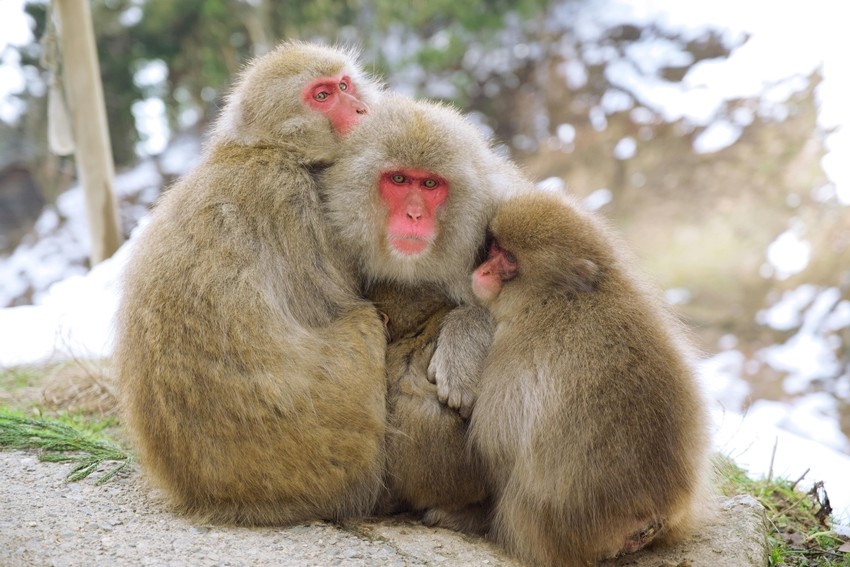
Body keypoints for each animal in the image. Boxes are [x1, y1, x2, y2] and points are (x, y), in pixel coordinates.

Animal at [114, 41, 389, 525]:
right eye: (322, 97)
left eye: (343, 85)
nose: (360, 109)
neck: (269, 149)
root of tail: (214, 496)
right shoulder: (294, 202)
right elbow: (335, 304)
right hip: (330, 444)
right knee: (365, 324)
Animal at [467, 191, 714, 566]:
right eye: (494, 248)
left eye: (508, 259)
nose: (484, 270)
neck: (560, 296)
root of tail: (651, 512)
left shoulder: (513, 349)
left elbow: (496, 445)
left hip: (545, 528)